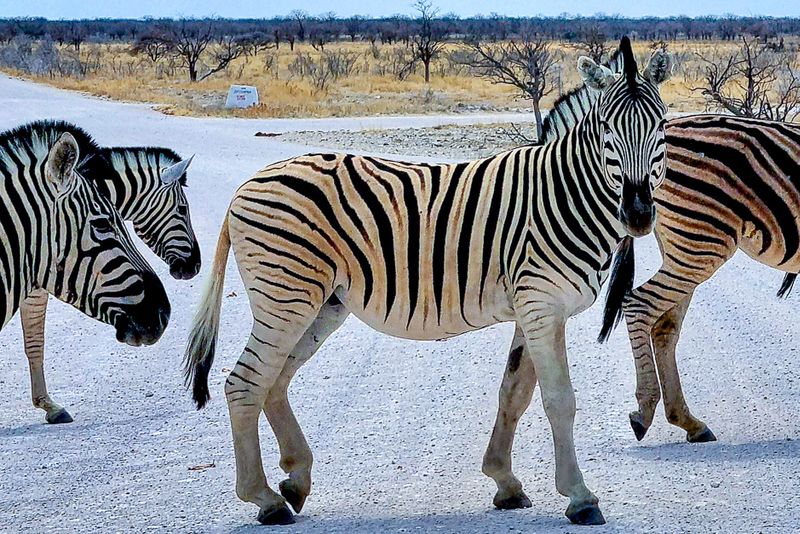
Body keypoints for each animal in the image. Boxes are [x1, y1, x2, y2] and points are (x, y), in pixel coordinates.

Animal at [184, 37, 672, 526]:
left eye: (661, 126)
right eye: (607, 130)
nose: (638, 215)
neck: (566, 194)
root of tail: (246, 186)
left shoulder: (531, 310)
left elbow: (513, 394)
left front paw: (505, 482)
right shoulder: (543, 306)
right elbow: (559, 400)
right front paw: (580, 497)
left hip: (322, 304)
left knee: (275, 380)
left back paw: (295, 480)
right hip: (286, 297)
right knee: (245, 384)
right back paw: (264, 499)